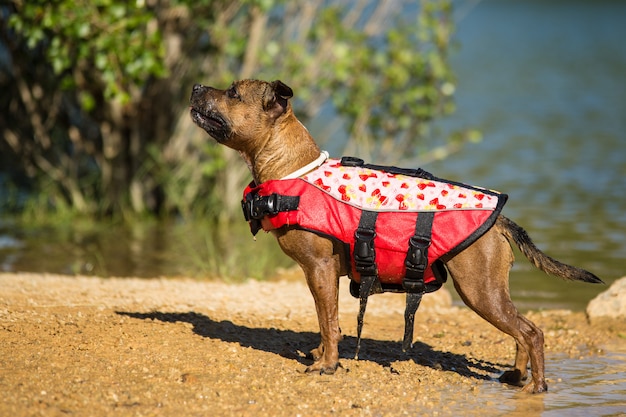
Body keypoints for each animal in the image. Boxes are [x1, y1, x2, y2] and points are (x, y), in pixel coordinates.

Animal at [188, 79, 604, 394]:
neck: (293, 169)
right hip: (491, 292)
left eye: (233, 93)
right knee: (521, 330)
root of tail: (500, 219)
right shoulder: (321, 276)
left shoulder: (320, 269)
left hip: (479, 291)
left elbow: (329, 321)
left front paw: (327, 365)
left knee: (531, 332)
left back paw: (537, 386)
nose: (195, 86)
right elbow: (327, 321)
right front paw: (322, 355)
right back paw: (518, 376)